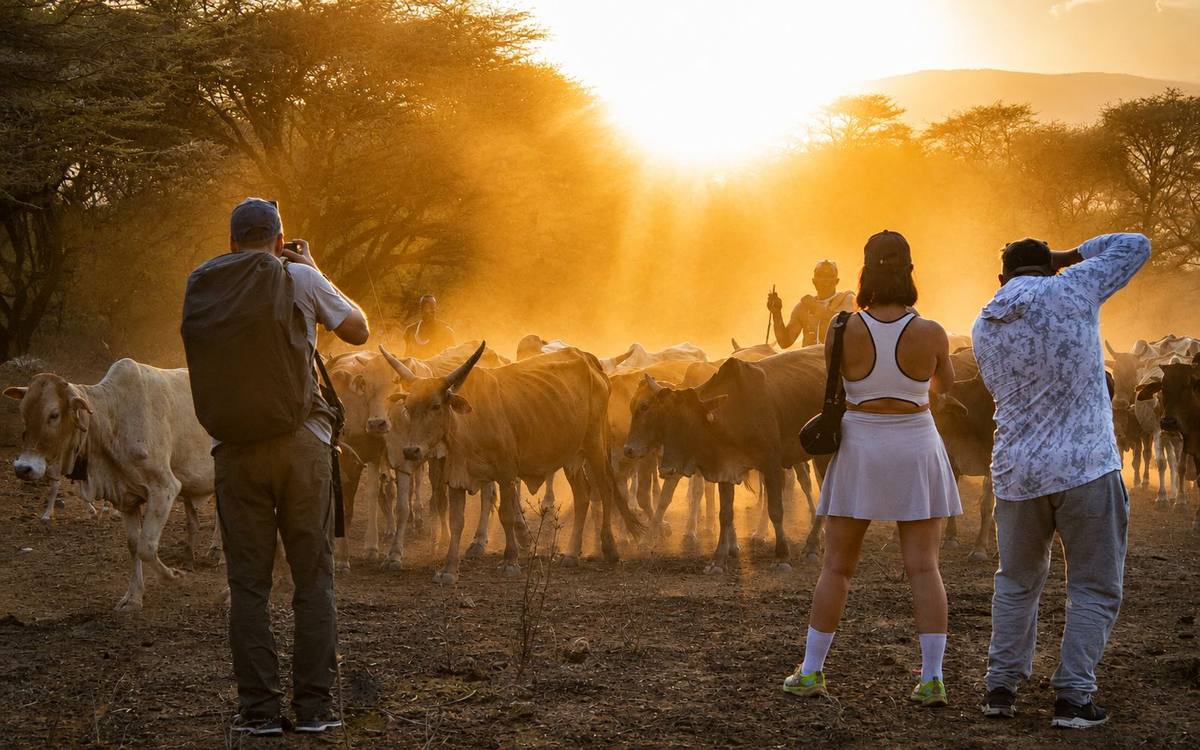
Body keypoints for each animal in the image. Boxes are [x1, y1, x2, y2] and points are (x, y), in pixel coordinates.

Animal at [5, 360, 215, 611]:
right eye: (23, 412)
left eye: (53, 415)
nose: (23, 468)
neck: (112, 419)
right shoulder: (127, 498)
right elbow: (134, 545)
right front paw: (133, 598)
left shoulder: (165, 488)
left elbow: (146, 547)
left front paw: (173, 576)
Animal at [383, 343, 643, 584]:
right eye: (408, 408)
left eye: (436, 406)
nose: (411, 450)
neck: (468, 423)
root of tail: (587, 358)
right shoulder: (456, 477)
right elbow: (457, 522)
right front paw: (448, 570)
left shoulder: (506, 474)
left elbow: (506, 515)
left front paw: (510, 561)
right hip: (571, 455)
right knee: (582, 495)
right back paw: (571, 553)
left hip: (594, 445)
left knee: (606, 489)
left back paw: (609, 548)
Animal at [624, 347, 828, 574]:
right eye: (666, 418)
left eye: (645, 407)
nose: (667, 469)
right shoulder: (725, 467)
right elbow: (725, 514)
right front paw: (718, 559)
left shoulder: (771, 465)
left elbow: (776, 509)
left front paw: (782, 556)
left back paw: (811, 544)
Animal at [1136, 357, 1200, 529]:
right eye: (1161, 391)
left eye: (1187, 386)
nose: (1167, 423)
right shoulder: (1159, 434)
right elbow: (1162, 462)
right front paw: (1162, 498)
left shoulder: (1184, 441)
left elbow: (1181, 467)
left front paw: (1181, 501)